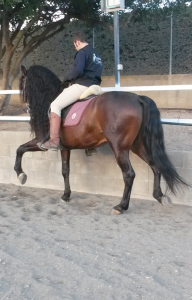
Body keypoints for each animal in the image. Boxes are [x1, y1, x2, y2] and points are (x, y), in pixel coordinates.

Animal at [14, 64, 188, 214]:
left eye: (22, 84)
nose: (25, 107)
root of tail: (138, 98)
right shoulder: (65, 148)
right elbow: (65, 170)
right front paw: (66, 195)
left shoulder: (42, 141)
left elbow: (20, 149)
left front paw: (20, 174)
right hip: (138, 146)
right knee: (155, 166)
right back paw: (159, 196)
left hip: (120, 149)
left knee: (129, 174)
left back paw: (121, 206)